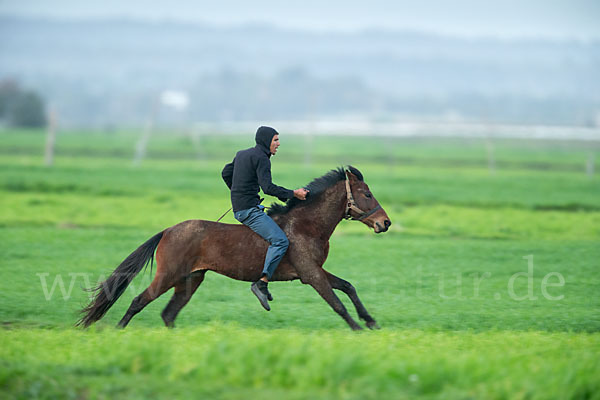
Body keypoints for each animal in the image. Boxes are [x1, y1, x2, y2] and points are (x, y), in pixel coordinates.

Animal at [77, 166, 392, 332]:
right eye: (366, 193)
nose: (385, 222)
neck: (307, 225)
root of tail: (168, 230)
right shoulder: (310, 274)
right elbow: (337, 302)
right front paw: (357, 328)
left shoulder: (315, 271)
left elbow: (348, 287)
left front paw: (371, 321)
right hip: (168, 276)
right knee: (138, 301)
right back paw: (119, 331)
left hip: (190, 280)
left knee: (168, 313)